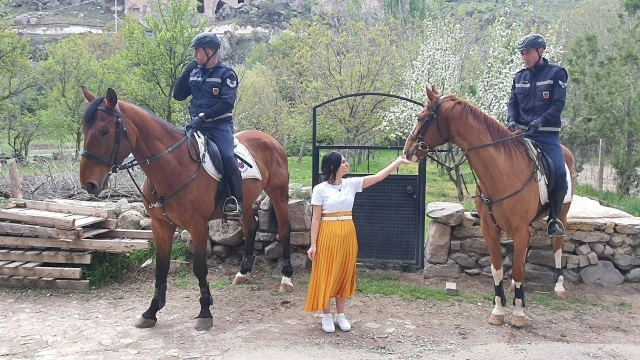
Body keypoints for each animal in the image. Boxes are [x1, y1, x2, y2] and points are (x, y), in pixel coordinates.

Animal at [78, 88, 296, 330]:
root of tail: (270, 139)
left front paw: (205, 311)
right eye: (84, 130)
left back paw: (286, 278)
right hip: (246, 202)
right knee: (251, 227)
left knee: (284, 230)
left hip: (277, 193)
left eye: (105, 131)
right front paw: (151, 311)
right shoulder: (161, 225)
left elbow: (199, 267)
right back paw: (243, 272)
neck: (173, 166)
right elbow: (161, 266)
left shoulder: (197, 226)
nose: (88, 183)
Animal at [404, 86, 576, 328]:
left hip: (561, 214)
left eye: (421, 118)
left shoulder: (519, 230)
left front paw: (518, 312)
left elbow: (518, 269)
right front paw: (498, 309)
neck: (501, 171)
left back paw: (559, 285)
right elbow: (498, 269)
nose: (407, 150)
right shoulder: (490, 229)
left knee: (558, 245)